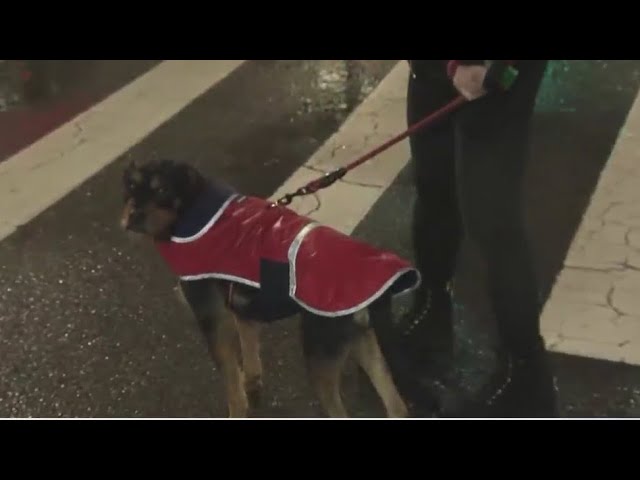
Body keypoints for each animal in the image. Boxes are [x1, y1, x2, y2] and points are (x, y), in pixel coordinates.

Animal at [120, 159, 422, 418]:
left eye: (162, 189)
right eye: (131, 187)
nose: (132, 216)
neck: (192, 207)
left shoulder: (211, 315)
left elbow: (230, 379)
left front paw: (238, 406)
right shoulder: (240, 303)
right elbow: (248, 351)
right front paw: (252, 384)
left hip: (320, 354)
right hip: (362, 341)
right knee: (396, 406)